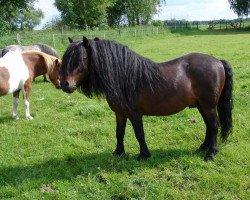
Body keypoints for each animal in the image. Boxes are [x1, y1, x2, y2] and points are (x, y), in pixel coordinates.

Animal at [58, 36, 232, 160]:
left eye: (81, 59)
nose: (64, 84)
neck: (124, 77)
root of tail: (217, 61)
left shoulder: (135, 114)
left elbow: (139, 134)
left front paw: (143, 155)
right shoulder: (120, 114)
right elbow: (119, 133)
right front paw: (118, 152)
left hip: (209, 105)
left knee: (214, 126)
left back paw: (211, 153)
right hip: (202, 105)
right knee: (209, 126)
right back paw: (203, 147)